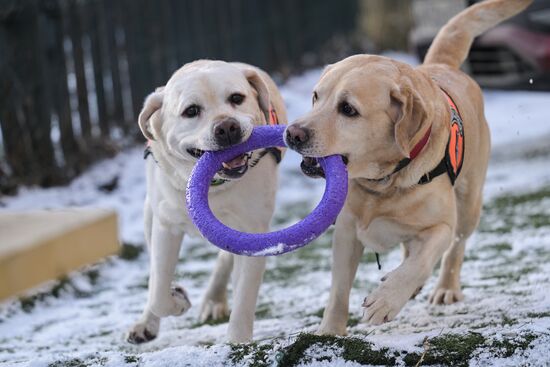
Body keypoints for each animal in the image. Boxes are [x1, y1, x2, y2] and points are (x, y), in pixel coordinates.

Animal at [127, 60, 286, 344]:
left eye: (236, 98)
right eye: (191, 111)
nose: (227, 127)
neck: (212, 188)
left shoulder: (253, 231)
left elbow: (244, 296)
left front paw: (237, 341)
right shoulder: (165, 226)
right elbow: (158, 289)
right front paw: (177, 299)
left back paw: (214, 300)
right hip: (148, 214)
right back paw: (146, 323)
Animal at [286, 0, 532, 336]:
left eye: (348, 109)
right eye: (315, 96)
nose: (292, 133)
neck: (382, 182)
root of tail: (443, 66)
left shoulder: (442, 226)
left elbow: (422, 261)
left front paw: (386, 299)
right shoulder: (346, 231)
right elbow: (338, 291)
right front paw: (329, 333)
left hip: (469, 204)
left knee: (454, 248)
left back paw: (445, 288)